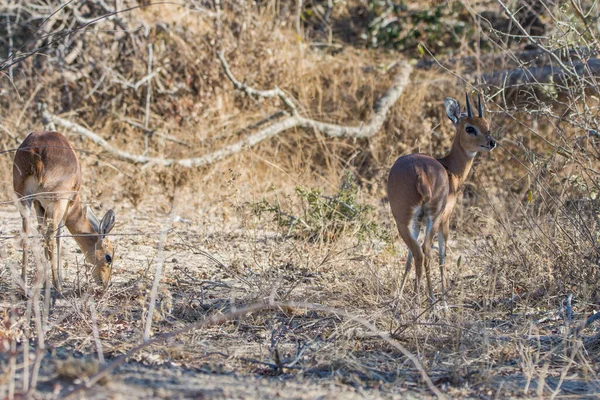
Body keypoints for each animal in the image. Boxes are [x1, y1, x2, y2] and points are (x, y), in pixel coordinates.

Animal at [12, 131, 116, 290]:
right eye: (108, 256)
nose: (105, 283)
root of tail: (36, 149)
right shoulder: (66, 206)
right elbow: (59, 237)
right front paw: (56, 280)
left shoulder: (39, 205)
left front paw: (44, 283)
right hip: (57, 203)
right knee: (51, 238)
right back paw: (58, 286)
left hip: (24, 199)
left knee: (26, 233)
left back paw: (24, 286)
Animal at [390, 94, 496, 304]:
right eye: (470, 127)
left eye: (487, 124)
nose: (491, 142)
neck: (450, 169)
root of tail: (420, 173)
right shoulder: (446, 220)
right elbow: (443, 256)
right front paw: (445, 301)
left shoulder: (417, 223)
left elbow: (408, 260)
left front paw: (398, 297)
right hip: (434, 218)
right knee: (426, 251)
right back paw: (430, 301)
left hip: (404, 222)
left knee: (417, 253)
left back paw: (414, 300)